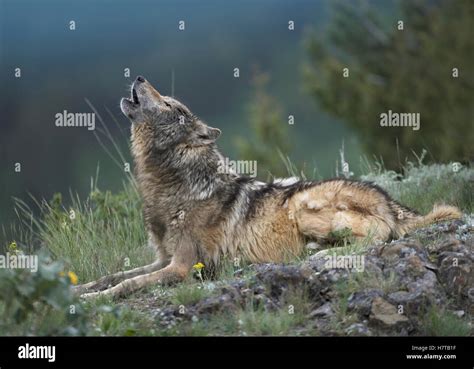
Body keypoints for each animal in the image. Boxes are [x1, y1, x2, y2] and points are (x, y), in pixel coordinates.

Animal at [77, 76, 460, 298]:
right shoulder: (161, 259)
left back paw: (316, 253)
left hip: (303, 206)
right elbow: (114, 275)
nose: (139, 77)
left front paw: (93, 299)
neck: (171, 187)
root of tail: (390, 201)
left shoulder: (182, 266)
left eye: (171, 104)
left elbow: (126, 284)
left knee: (376, 239)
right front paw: (81, 288)